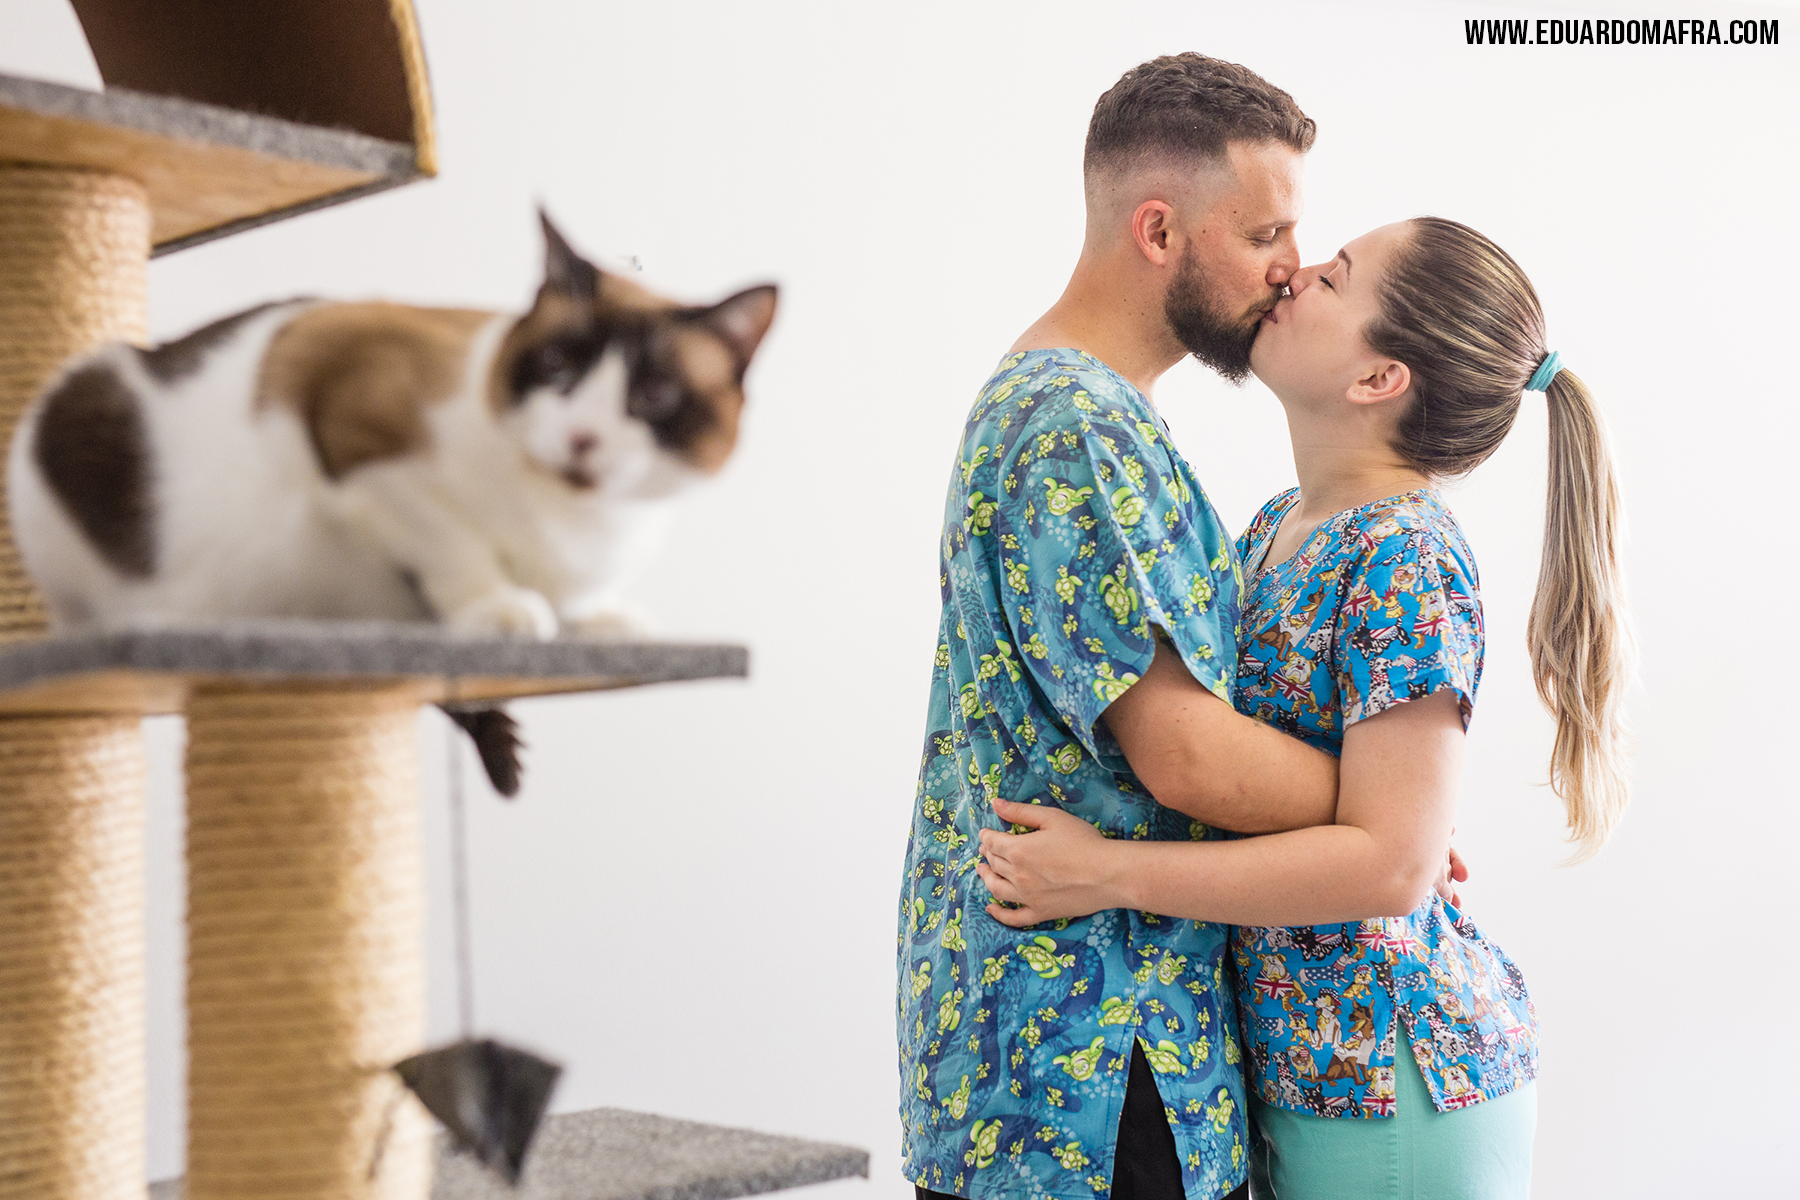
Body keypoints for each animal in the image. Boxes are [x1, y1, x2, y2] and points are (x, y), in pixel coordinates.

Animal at [7, 211, 777, 791]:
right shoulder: (360, 443)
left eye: (653, 396)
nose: (582, 438)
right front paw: (500, 609)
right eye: (558, 367)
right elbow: (454, 545)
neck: (577, 518)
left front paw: (598, 621)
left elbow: (580, 600)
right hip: (69, 429)